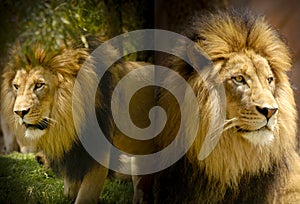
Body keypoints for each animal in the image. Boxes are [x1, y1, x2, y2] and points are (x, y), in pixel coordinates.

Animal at [1, 41, 157, 204]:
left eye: (39, 85)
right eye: (16, 86)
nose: (19, 112)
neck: (67, 121)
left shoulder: (98, 154)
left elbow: (85, 197)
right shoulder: (73, 155)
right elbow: (69, 191)